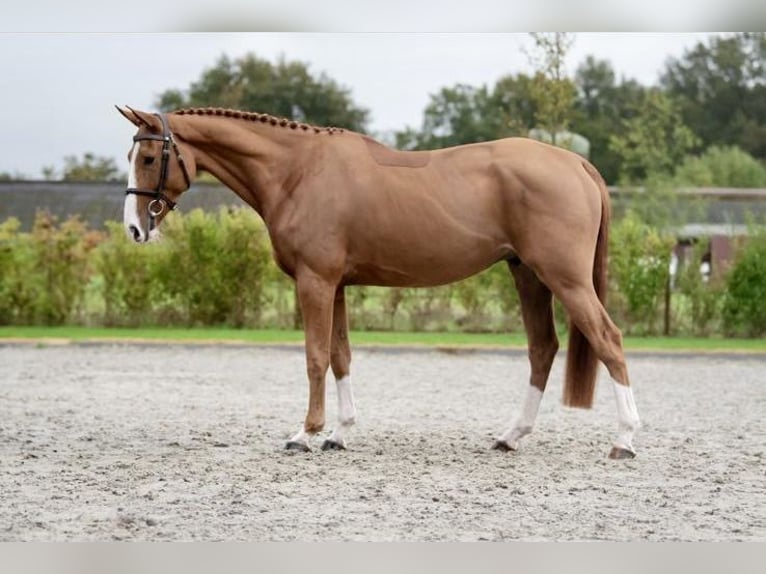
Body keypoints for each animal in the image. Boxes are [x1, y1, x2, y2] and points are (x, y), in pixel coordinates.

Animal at [115, 106, 640, 462]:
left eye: (149, 156)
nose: (135, 229)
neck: (297, 171)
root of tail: (575, 164)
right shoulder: (337, 285)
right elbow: (341, 355)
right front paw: (339, 433)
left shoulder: (315, 281)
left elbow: (315, 356)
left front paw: (305, 433)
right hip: (528, 274)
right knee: (543, 348)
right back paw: (511, 436)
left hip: (565, 278)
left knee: (608, 340)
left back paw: (624, 440)